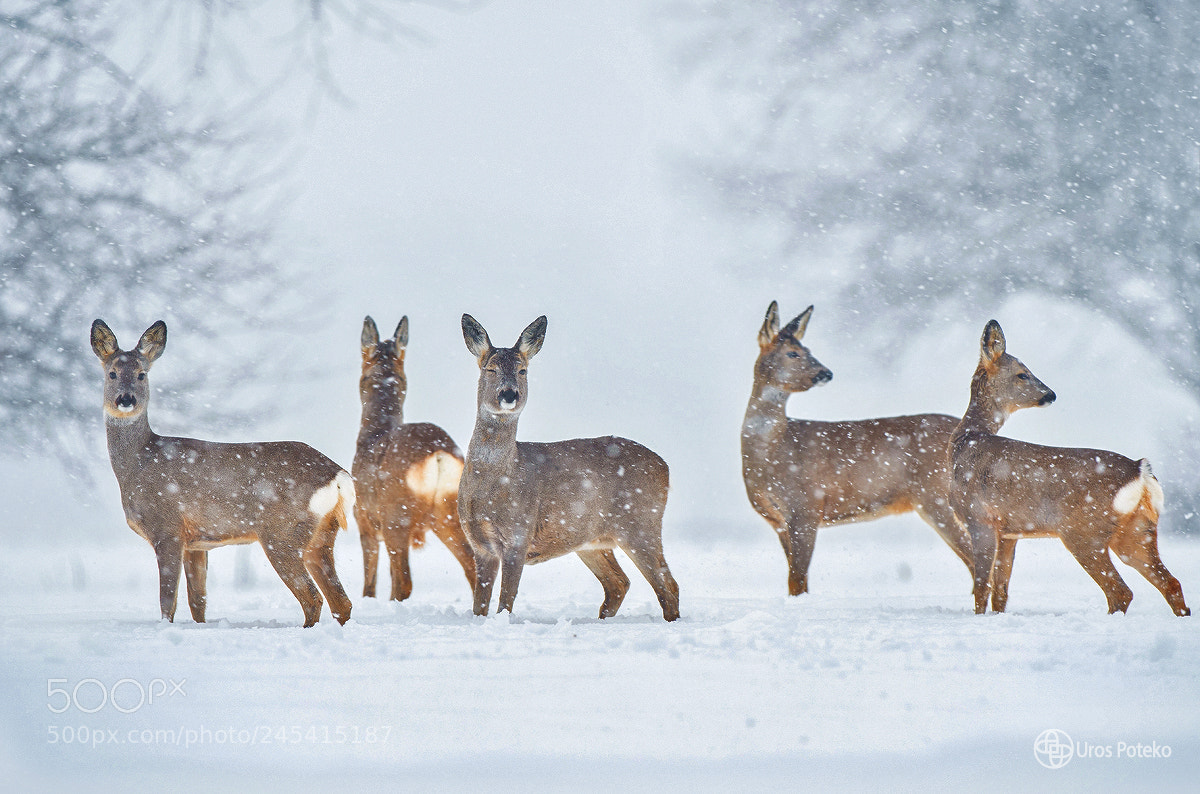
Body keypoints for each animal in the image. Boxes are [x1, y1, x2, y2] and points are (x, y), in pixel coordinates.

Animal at [90, 319, 355, 627]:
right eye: (112, 373)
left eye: (142, 374)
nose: (126, 399)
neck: (139, 461)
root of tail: (338, 476)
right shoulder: (196, 543)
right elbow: (198, 602)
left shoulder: (167, 528)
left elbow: (168, 602)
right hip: (322, 534)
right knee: (341, 602)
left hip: (282, 532)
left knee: (313, 598)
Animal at [353, 316, 476, 601]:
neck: (373, 434)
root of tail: (438, 452)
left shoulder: (364, 518)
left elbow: (370, 584)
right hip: (451, 512)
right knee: (474, 566)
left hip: (396, 515)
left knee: (404, 583)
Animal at [457, 314, 680, 621]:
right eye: (489, 368)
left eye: (523, 370)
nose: (509, 394)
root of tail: (665, 466)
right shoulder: (479, 544)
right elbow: (479, 605)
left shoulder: (519, 533)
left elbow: (506, 601)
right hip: (592, 541)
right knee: (619, 583)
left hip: (641, 523)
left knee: (667, 584)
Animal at [742, 301, 974, 597]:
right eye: (793, 353)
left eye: (809, 350)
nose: (826, 373)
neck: (771, 452)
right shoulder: (778, 522)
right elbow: (799, 582)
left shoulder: (806, 506)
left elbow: (797, 580)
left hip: (938, 497)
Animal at [950, 319, 1189, 616]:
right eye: (1022, 374)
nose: (1050, 394)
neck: (967, 441)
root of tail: (1140, 472)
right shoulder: (1009, 532)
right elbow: (1001, 591)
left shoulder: (979, 518)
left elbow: (982, 586)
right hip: (1137, 531)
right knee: (1171, 583)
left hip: (1083, 531)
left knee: (1120, 591)